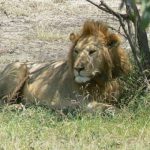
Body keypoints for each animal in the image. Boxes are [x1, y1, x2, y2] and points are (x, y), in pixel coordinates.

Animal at [0, 19, 131, 111]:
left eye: (92, 51)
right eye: (76, 51)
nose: (78, 68)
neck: (101, 80)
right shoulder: (79, 101)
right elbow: (106, 107)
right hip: (19, 67)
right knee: (2, 104)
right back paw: (17, 107)